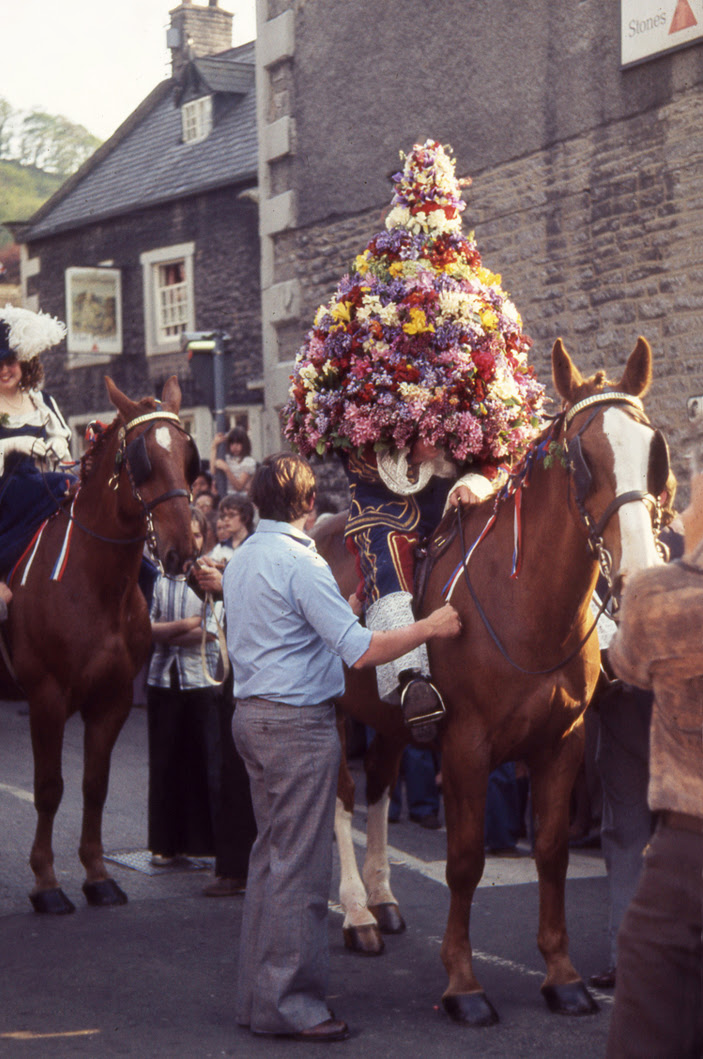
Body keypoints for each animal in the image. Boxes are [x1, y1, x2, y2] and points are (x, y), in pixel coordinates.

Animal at [2, 377, 195, 914]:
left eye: (188, 455)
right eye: (141, 459)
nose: (184, 550)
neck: (92, 585)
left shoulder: (111, 700)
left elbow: (94, 785)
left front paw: (97, 874)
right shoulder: (46, 698)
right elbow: (49, 788)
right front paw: (46, 883)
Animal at [317, 338, 669, 1025]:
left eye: (652, 450)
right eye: (584, 458)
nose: (641, 573)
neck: (525, 608)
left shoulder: (561, 744)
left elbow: (553, 853)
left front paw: (562, 976)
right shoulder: (466, 749)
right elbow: (464, 860)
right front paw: (463, 985)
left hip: (390, 721)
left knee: (379, 789)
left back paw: (383, 900)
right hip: (337, 712)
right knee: (344, 799)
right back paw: (355, 914)